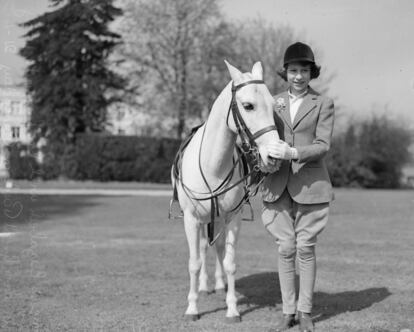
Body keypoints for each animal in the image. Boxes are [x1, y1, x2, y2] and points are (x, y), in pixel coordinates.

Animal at [170, 60, 280, 322]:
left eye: (273, 106)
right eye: (248, 105)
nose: (273, 156)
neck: (213, 166)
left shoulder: (232, 218)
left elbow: (229, 262)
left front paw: (232, 309)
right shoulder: (191, 219)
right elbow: (194, 262)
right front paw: (192, 308)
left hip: (218, 219)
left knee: (218, 248)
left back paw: (219, 284)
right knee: (203, 248)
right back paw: (204, 286)